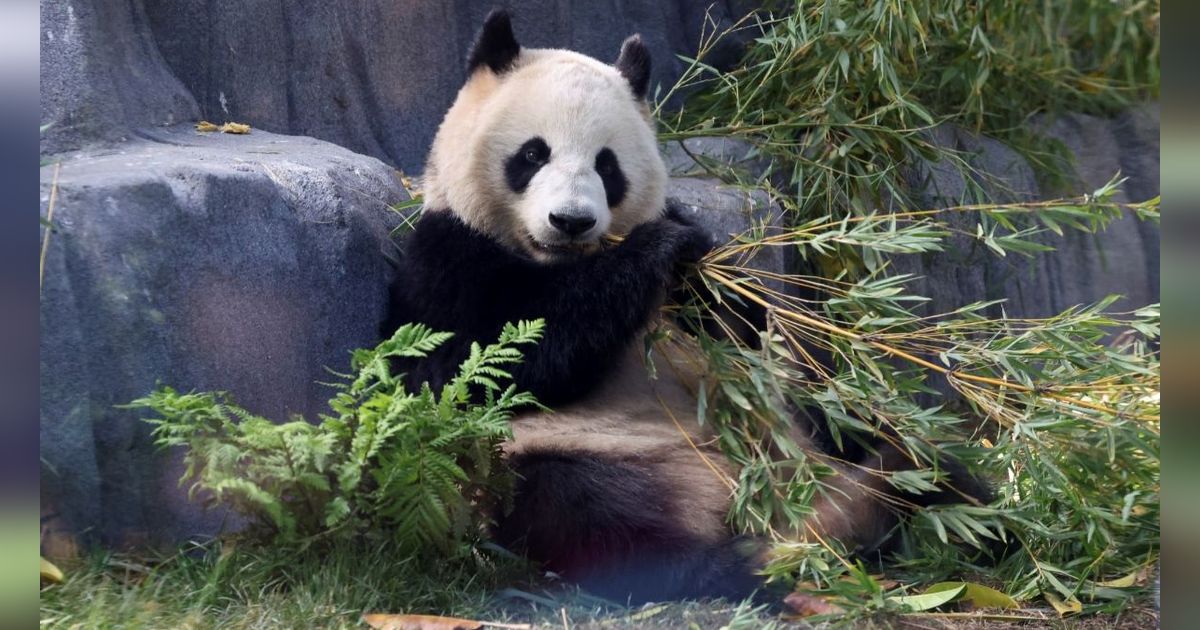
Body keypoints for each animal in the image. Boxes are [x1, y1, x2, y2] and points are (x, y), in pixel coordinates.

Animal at [386, 8, 993, 600]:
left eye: (607, 166)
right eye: (533, 154)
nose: (572, 221)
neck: (559, 262)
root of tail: (758, 504)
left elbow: (743, 327)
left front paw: (701, 266)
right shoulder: (449, 258)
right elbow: (475, 368)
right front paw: (657, 250)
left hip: (800, 429)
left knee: (869, 431)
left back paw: (954, 506)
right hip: (556, 459)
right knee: (587, 509)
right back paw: (734, 567)